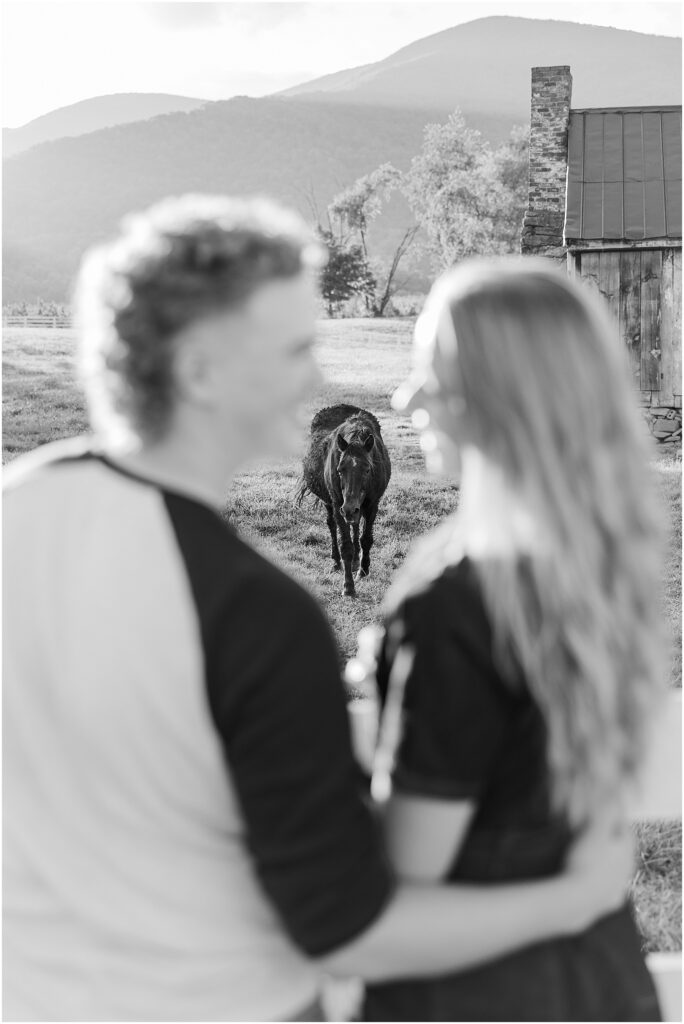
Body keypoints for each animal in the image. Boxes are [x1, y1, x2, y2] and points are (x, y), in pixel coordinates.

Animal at [296, 403, 389, 598]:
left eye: (368, 469)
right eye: (339, 470)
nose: (349, 509)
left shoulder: (372, 505)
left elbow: (365, 539)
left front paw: (363, 570)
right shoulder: (338, 504)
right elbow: (345, 545)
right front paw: (348, 586)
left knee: (355, 525)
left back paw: (355, 563)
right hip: (330, 503)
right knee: (332, 525)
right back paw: (336, 562)